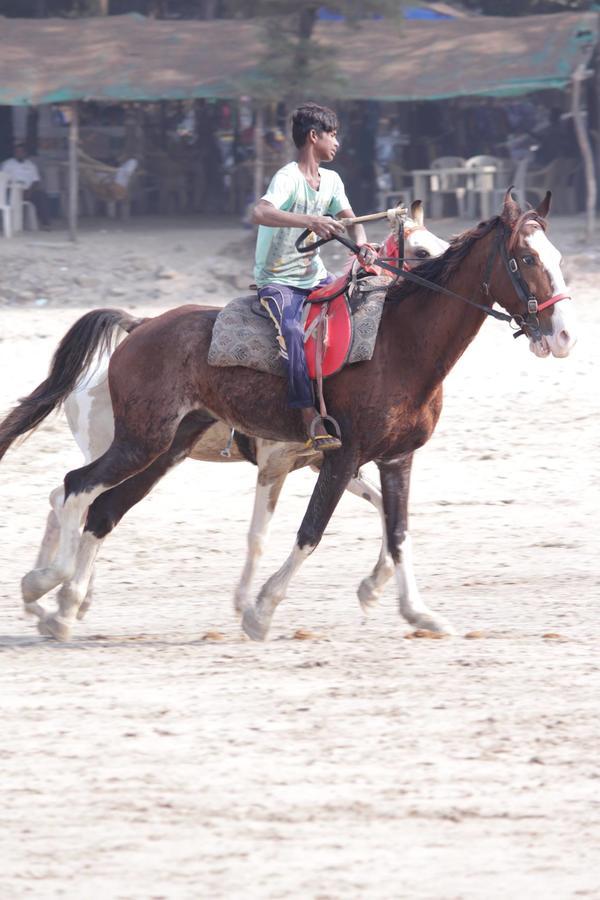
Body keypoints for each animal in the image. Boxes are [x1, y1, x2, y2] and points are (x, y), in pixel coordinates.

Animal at [15, 192, 576, 640]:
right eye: (526, 257)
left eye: (556, 255)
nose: (564, 334)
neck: (399, 344)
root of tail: (141, 326)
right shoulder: (334, 456)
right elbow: (308, 531)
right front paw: (260, 610)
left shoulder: (393, 459)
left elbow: (397, 532)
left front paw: (417, 611)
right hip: (138, 443)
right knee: (75, 489)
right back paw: (51, 586)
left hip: (162, 451)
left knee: (101, 510)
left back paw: (62, 605)